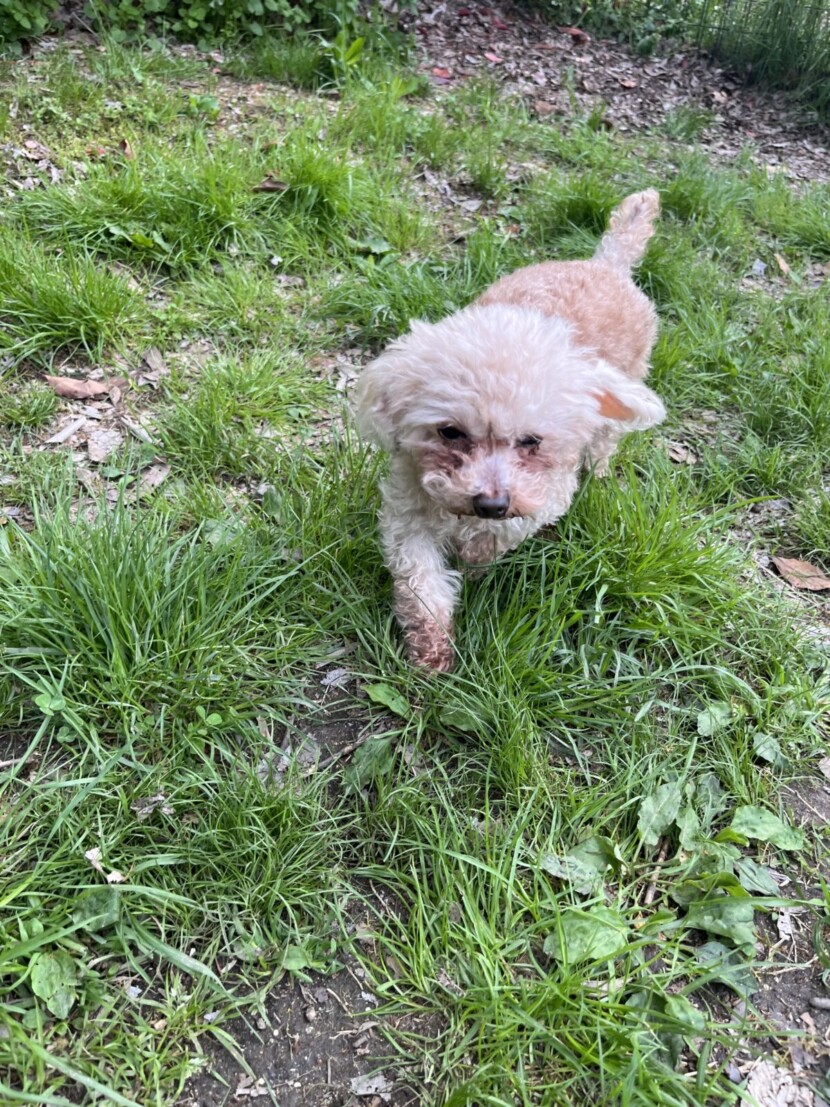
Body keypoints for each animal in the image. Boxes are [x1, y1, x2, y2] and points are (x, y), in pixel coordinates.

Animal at [356, 189, 665, 672]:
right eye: (450, 432)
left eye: (531, 441)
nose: (491, 503)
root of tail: (606, 265)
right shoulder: (408, 512)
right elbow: (421, 581)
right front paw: (431, 648)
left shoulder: (542, 498)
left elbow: (495, 540)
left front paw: (475, 559)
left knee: (603, 444)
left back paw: (598, 472)